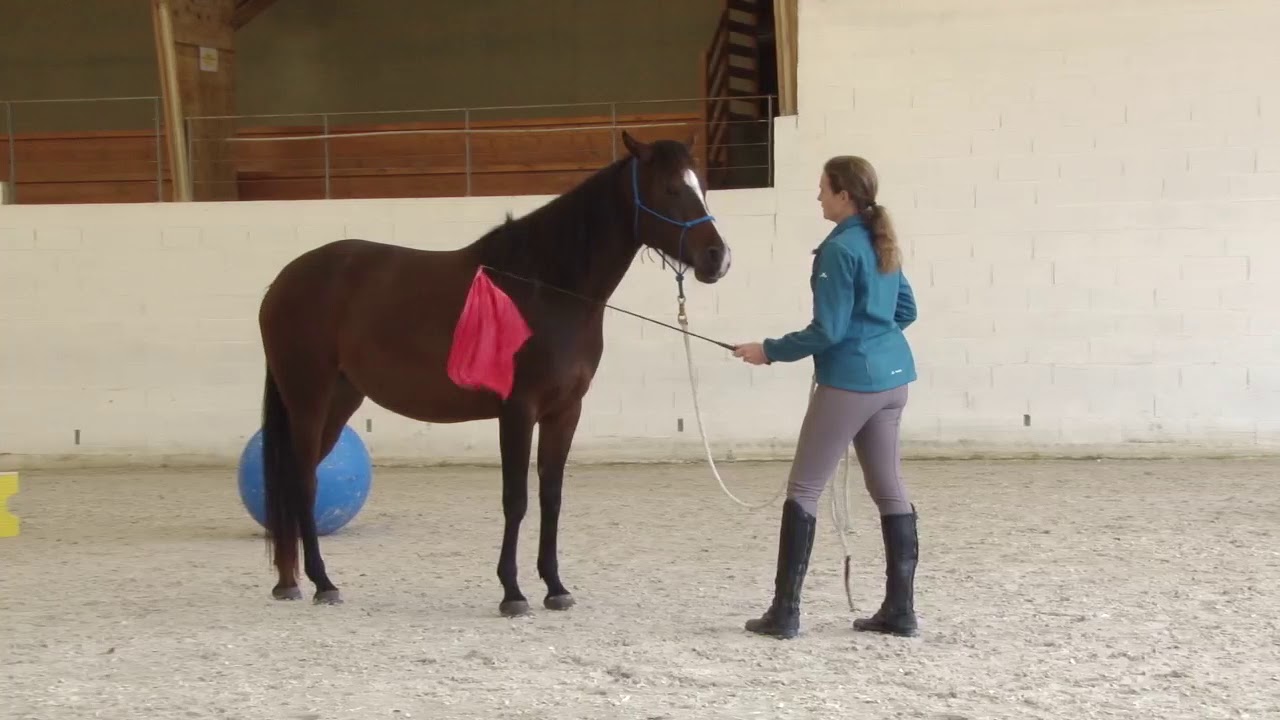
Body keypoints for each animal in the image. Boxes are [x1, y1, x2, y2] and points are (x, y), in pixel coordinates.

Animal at [256, 130, 732, 616]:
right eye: (670, 189)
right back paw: (322, 582)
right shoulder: (517, 409)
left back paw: (289, 581)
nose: (718, 257)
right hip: (308, 399)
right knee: (304, 483)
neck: (545, 288)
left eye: (702, 187)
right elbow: (515, 499)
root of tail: (283, 282)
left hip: (340, 399)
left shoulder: (565, 412)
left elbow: (551, 496)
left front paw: (555, 587)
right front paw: (513, 592)